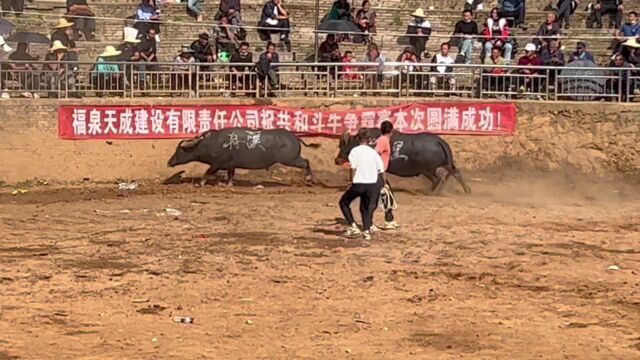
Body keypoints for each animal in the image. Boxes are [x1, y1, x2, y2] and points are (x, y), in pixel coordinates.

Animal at [169, 128, 320, 187]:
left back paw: (309, 179)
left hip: (290, 159)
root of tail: (295, 137)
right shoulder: (230, 165)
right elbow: (230, 175)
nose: (169, 162)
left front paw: (201, 183)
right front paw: (229, 184)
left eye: (178, 150)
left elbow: (207, 172)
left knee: (306, 162)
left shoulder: (217, 164)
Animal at [336, 129, 470, 195]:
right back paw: (467, 190)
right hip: (446, 164)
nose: (337, 160)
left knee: (438, 178)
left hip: (428, 169)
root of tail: (439, 141)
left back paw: (431, 192)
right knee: (455, 173)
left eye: (342, 145)